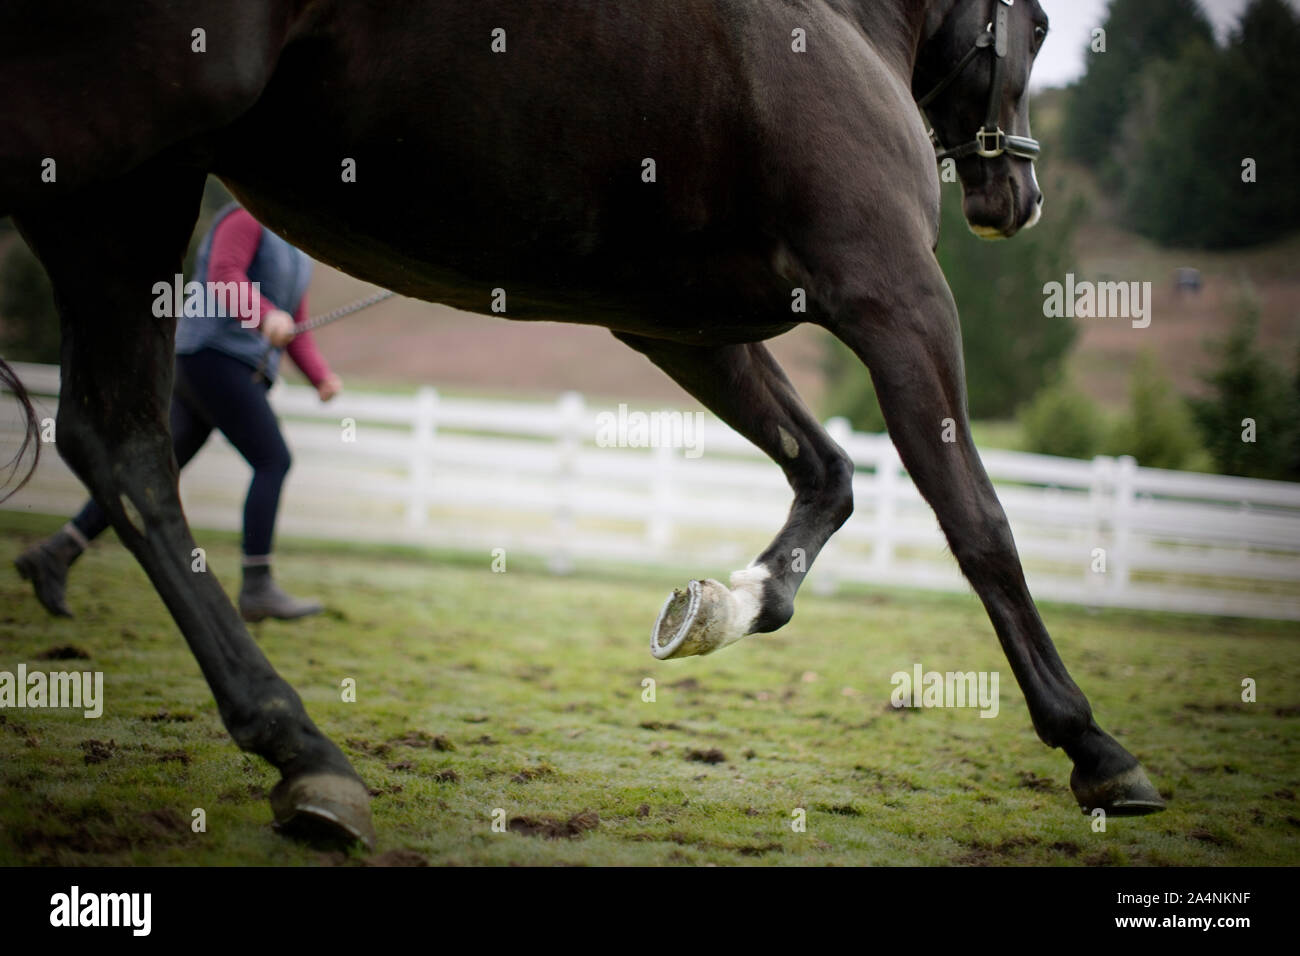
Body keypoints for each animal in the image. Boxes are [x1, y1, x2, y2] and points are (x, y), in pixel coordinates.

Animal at [0, 0, 1165, 848]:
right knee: (129, 451)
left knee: (122, 450)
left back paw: (300, 753)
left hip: (119, 192)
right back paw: (302, 749)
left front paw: (719, 606)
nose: (1016, 198)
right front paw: (1096, 749)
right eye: (1044, 27)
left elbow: (828, 474)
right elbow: (979, 525)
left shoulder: (680, 325)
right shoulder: (896, 296)